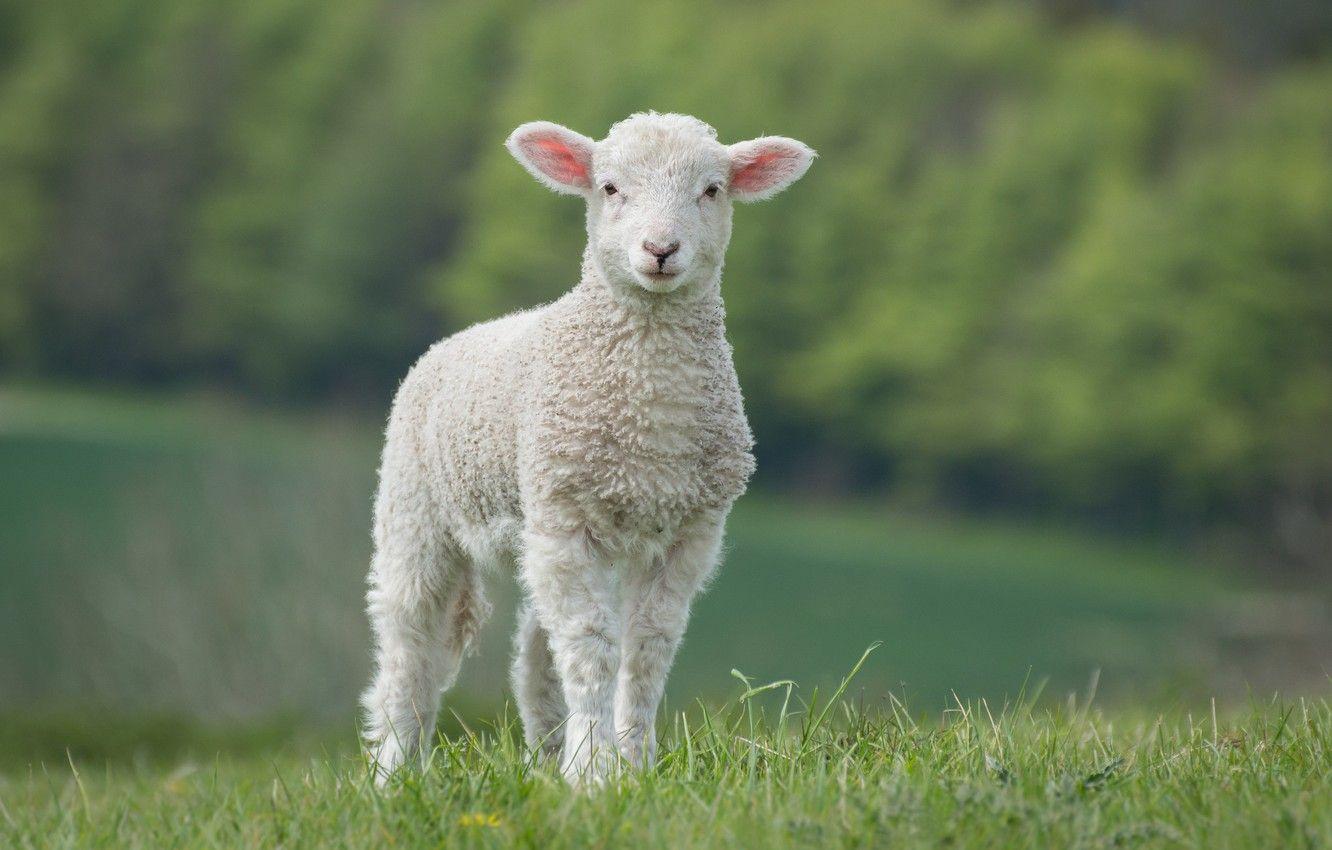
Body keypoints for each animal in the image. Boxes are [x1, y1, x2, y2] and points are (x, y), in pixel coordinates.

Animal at [361, 112, 814, 785]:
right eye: (609, 187)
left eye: (712, 190)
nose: (660, 250)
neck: (649, 419)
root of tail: (452, 341)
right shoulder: (567, 515)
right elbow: (591, 642)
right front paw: (595, 771)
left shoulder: (689, 530)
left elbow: (647, 645)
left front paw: (631, 762)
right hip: (415, 507)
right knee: (408, 644)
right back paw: (393, 772)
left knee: (533, 652)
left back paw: (548, 755)